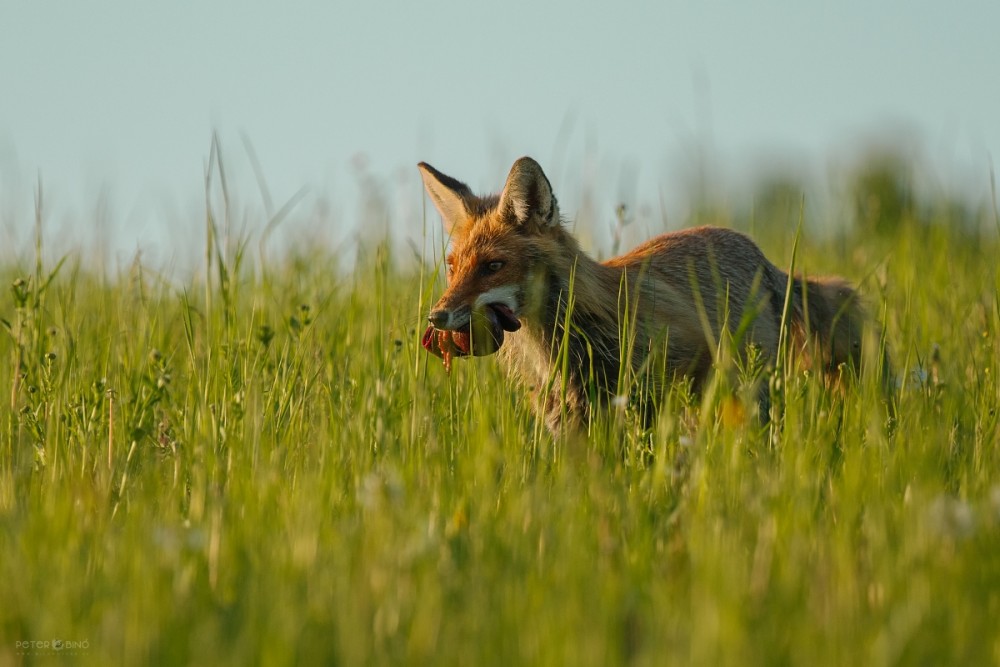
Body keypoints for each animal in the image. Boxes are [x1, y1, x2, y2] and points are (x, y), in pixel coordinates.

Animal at [418, 157, 888, 434]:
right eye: (452, 267)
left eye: (493, 266)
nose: (436, 317)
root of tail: (762, 257)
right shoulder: (565, 416)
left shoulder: (671, 372)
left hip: (747, 386)